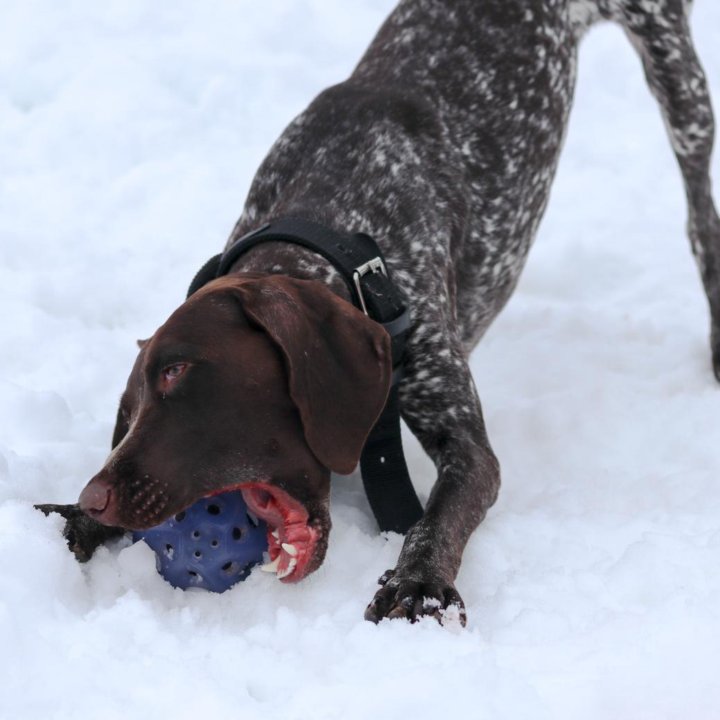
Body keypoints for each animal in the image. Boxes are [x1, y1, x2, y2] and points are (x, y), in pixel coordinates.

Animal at [39, 0, 720, 624]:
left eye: (178, 373)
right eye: (126, 411)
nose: (94, 497)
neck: (339, 232)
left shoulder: (466, 444)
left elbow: (436, 518)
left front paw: (418, 582)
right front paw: (74, 525)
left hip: (679, 84)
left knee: (700, 217)